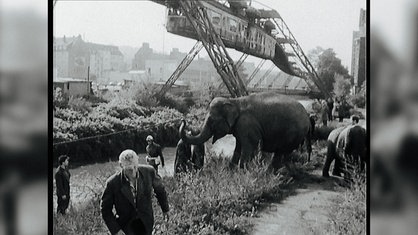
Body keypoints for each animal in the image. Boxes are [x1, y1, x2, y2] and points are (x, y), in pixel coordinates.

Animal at [178, 92, 312, 171]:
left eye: (211, 121)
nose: (183, 120)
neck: (234, 101)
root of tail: (307, 115)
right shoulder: (240, 128)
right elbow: (238, 147)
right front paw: (230, 170)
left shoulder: (247, 124)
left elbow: (249, 147)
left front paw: (241, 171)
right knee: (284, 152)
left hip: (293, 133)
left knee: (281, 151)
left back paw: (273, 170)